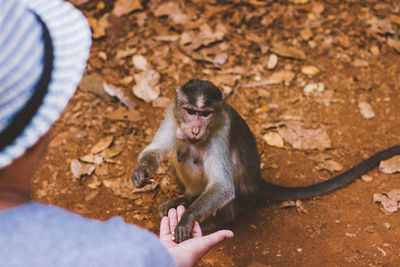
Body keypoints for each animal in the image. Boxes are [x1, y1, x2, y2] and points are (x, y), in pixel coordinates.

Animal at [133, 79, 400, 245]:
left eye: (205, 114)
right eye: (190, 111)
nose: (196, 129)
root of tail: (259, 182)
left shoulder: (221, 130)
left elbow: (224, 187)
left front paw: (188, 218)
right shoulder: (172, 114)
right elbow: (155, 150)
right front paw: (141, 171)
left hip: (244, 199)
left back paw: (212, 220)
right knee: (181, 148)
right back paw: (187, 197)